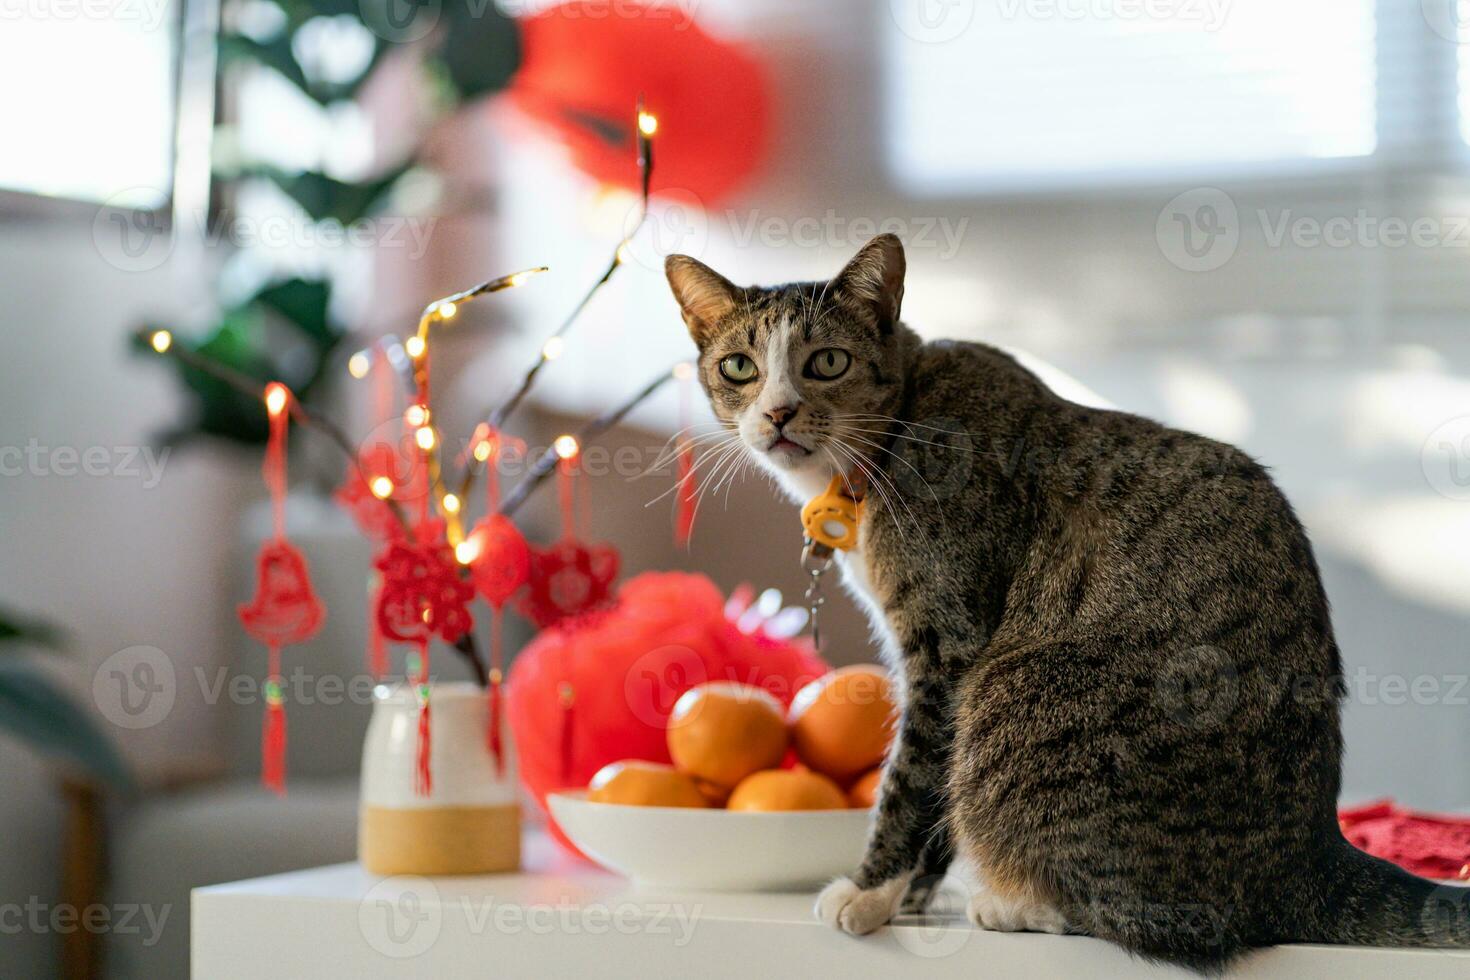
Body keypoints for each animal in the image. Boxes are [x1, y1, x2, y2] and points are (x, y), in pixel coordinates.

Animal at [664, 233, 1470, 969]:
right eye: (739, 366)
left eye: (826, 361)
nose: (777, 414)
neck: (890, 437)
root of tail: (1310, 859)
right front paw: (912, 897)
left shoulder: (948, 645)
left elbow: (913, 781)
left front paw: (869, 893)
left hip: (1015, 699)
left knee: (1164, 924)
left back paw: (1015, 904)